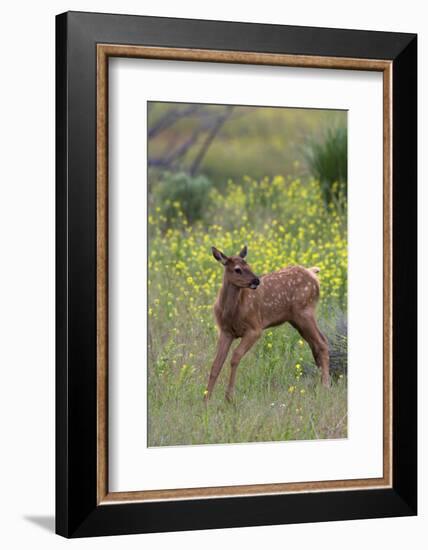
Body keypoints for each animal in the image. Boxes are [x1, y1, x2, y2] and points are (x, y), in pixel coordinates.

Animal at [206, 248, 330, 404]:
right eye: (237, 269)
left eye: (249, 265)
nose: (256, 280)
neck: (231, 312)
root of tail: (312, 274)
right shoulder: (225, 331)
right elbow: (216, 363)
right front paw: (206, 399)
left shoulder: (255, 328)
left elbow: (235, 357)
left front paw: (229, 397)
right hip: (297, 320)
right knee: (315, 345)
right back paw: (319, 383)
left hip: (305, 313)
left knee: (322, 343)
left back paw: (325, 386)